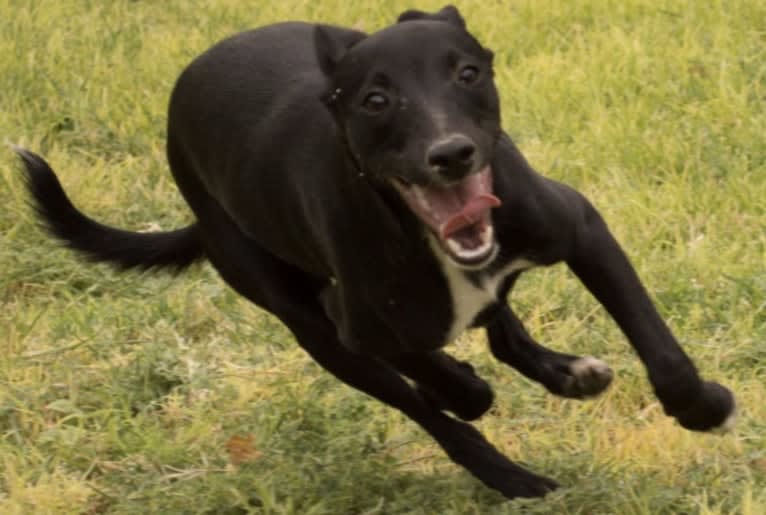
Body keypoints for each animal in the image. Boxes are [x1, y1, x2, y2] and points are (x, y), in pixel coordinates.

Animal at [16, 6, 736, 502]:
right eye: (376, 99)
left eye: (467, 73)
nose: (451, 154)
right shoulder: (352, 324)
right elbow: (440, 375)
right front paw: (463, 386)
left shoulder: (581, 229)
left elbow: (662, 351)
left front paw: (704, 408)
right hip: (309, 327)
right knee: (441, 411)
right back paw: (512, 473)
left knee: (495, 327)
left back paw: (562, 375)